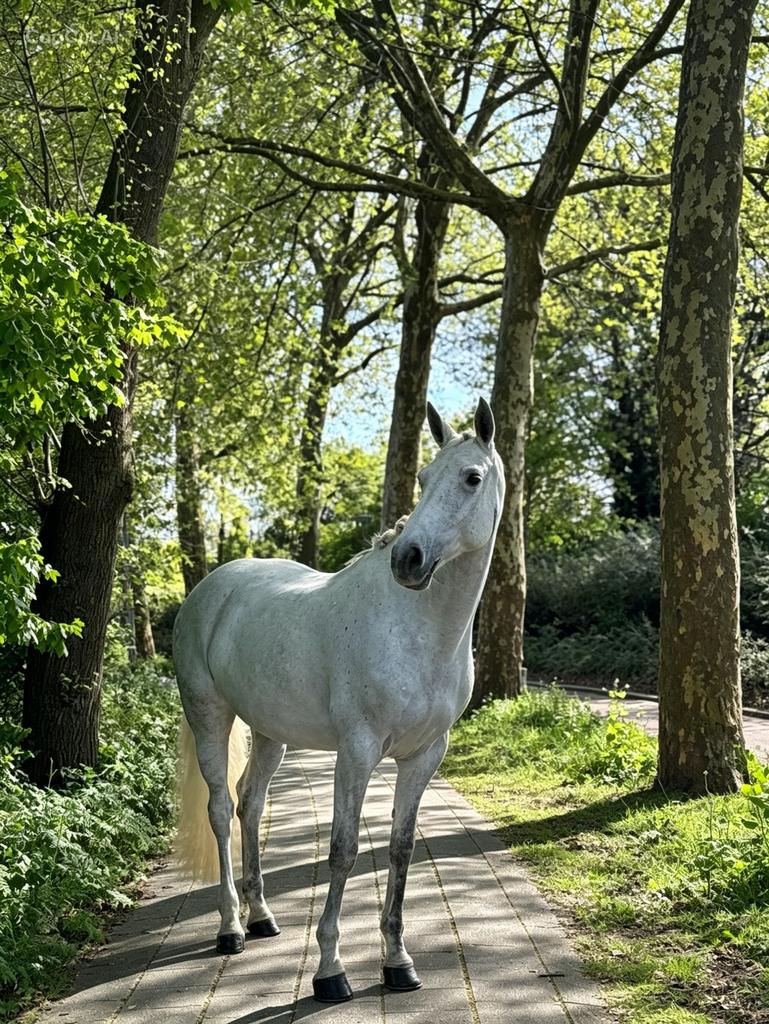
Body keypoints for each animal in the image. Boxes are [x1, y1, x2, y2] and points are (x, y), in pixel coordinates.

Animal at [173, 397, 504, 1003]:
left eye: (471, 477)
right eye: (424, 478)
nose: (408, 559)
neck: (416, 631)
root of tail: (211, 589)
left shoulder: (424, 757)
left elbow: (400, 849)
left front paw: (398, 961)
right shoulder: (357, 753)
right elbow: (343, 851)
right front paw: (330, 969)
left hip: (270, 734)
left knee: (250, 803)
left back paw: (262, 917)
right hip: (209, 717)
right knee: (220, 810)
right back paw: (230, 928)